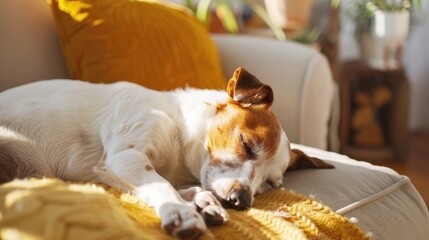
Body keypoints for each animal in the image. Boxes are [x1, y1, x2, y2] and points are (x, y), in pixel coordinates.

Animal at [0, 68, 332, 240]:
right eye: (247, 144)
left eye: (270, 185)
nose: (241, 201)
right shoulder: (126, 157)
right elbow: (162, 185)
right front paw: (183, 212)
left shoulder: (117, 173)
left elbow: (175, 186)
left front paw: (203, 202)